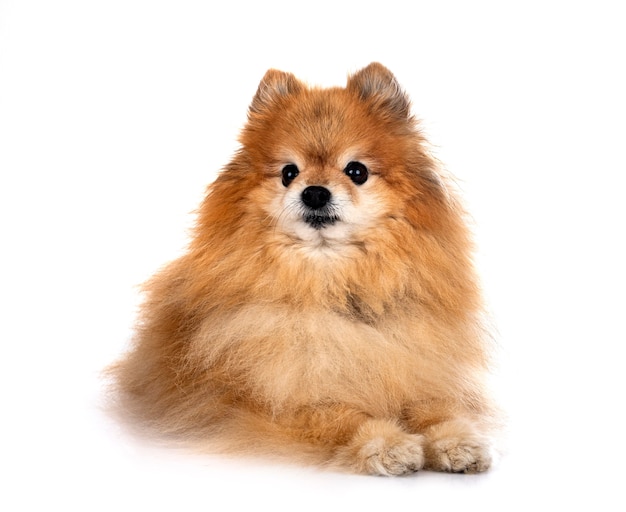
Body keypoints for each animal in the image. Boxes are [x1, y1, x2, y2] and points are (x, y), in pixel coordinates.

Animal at [109, 63, 494, 476]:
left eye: (356, 171)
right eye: (288, 173)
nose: (315, 193)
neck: (330, 279)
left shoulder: (416, 370)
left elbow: (435, 407)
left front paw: (457, 441)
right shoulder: (282, 401)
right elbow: (341, 417)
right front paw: (387, 445)